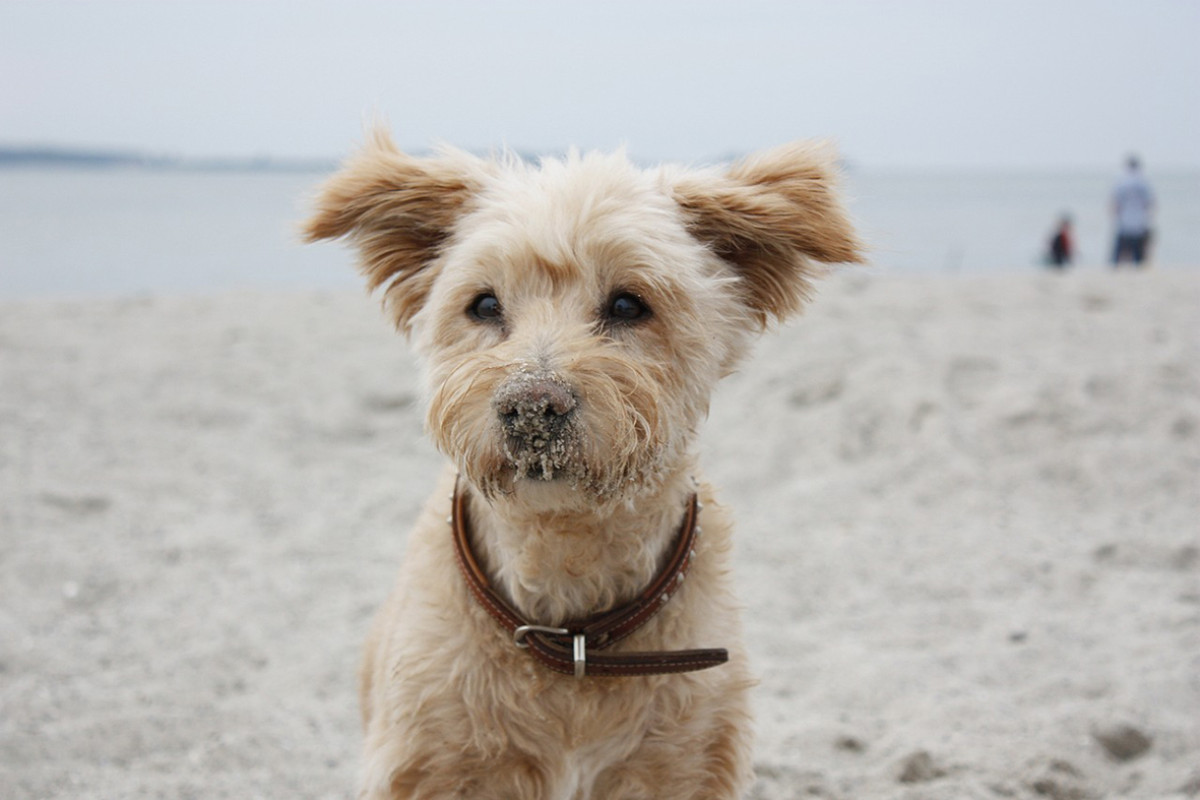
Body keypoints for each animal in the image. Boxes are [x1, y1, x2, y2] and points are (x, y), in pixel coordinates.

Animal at [304, 134, 859, 796]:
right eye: (483, 304)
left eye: (627, 304)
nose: (531, 407)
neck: (571, 626)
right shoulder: (431, 765)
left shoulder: (682, 766)